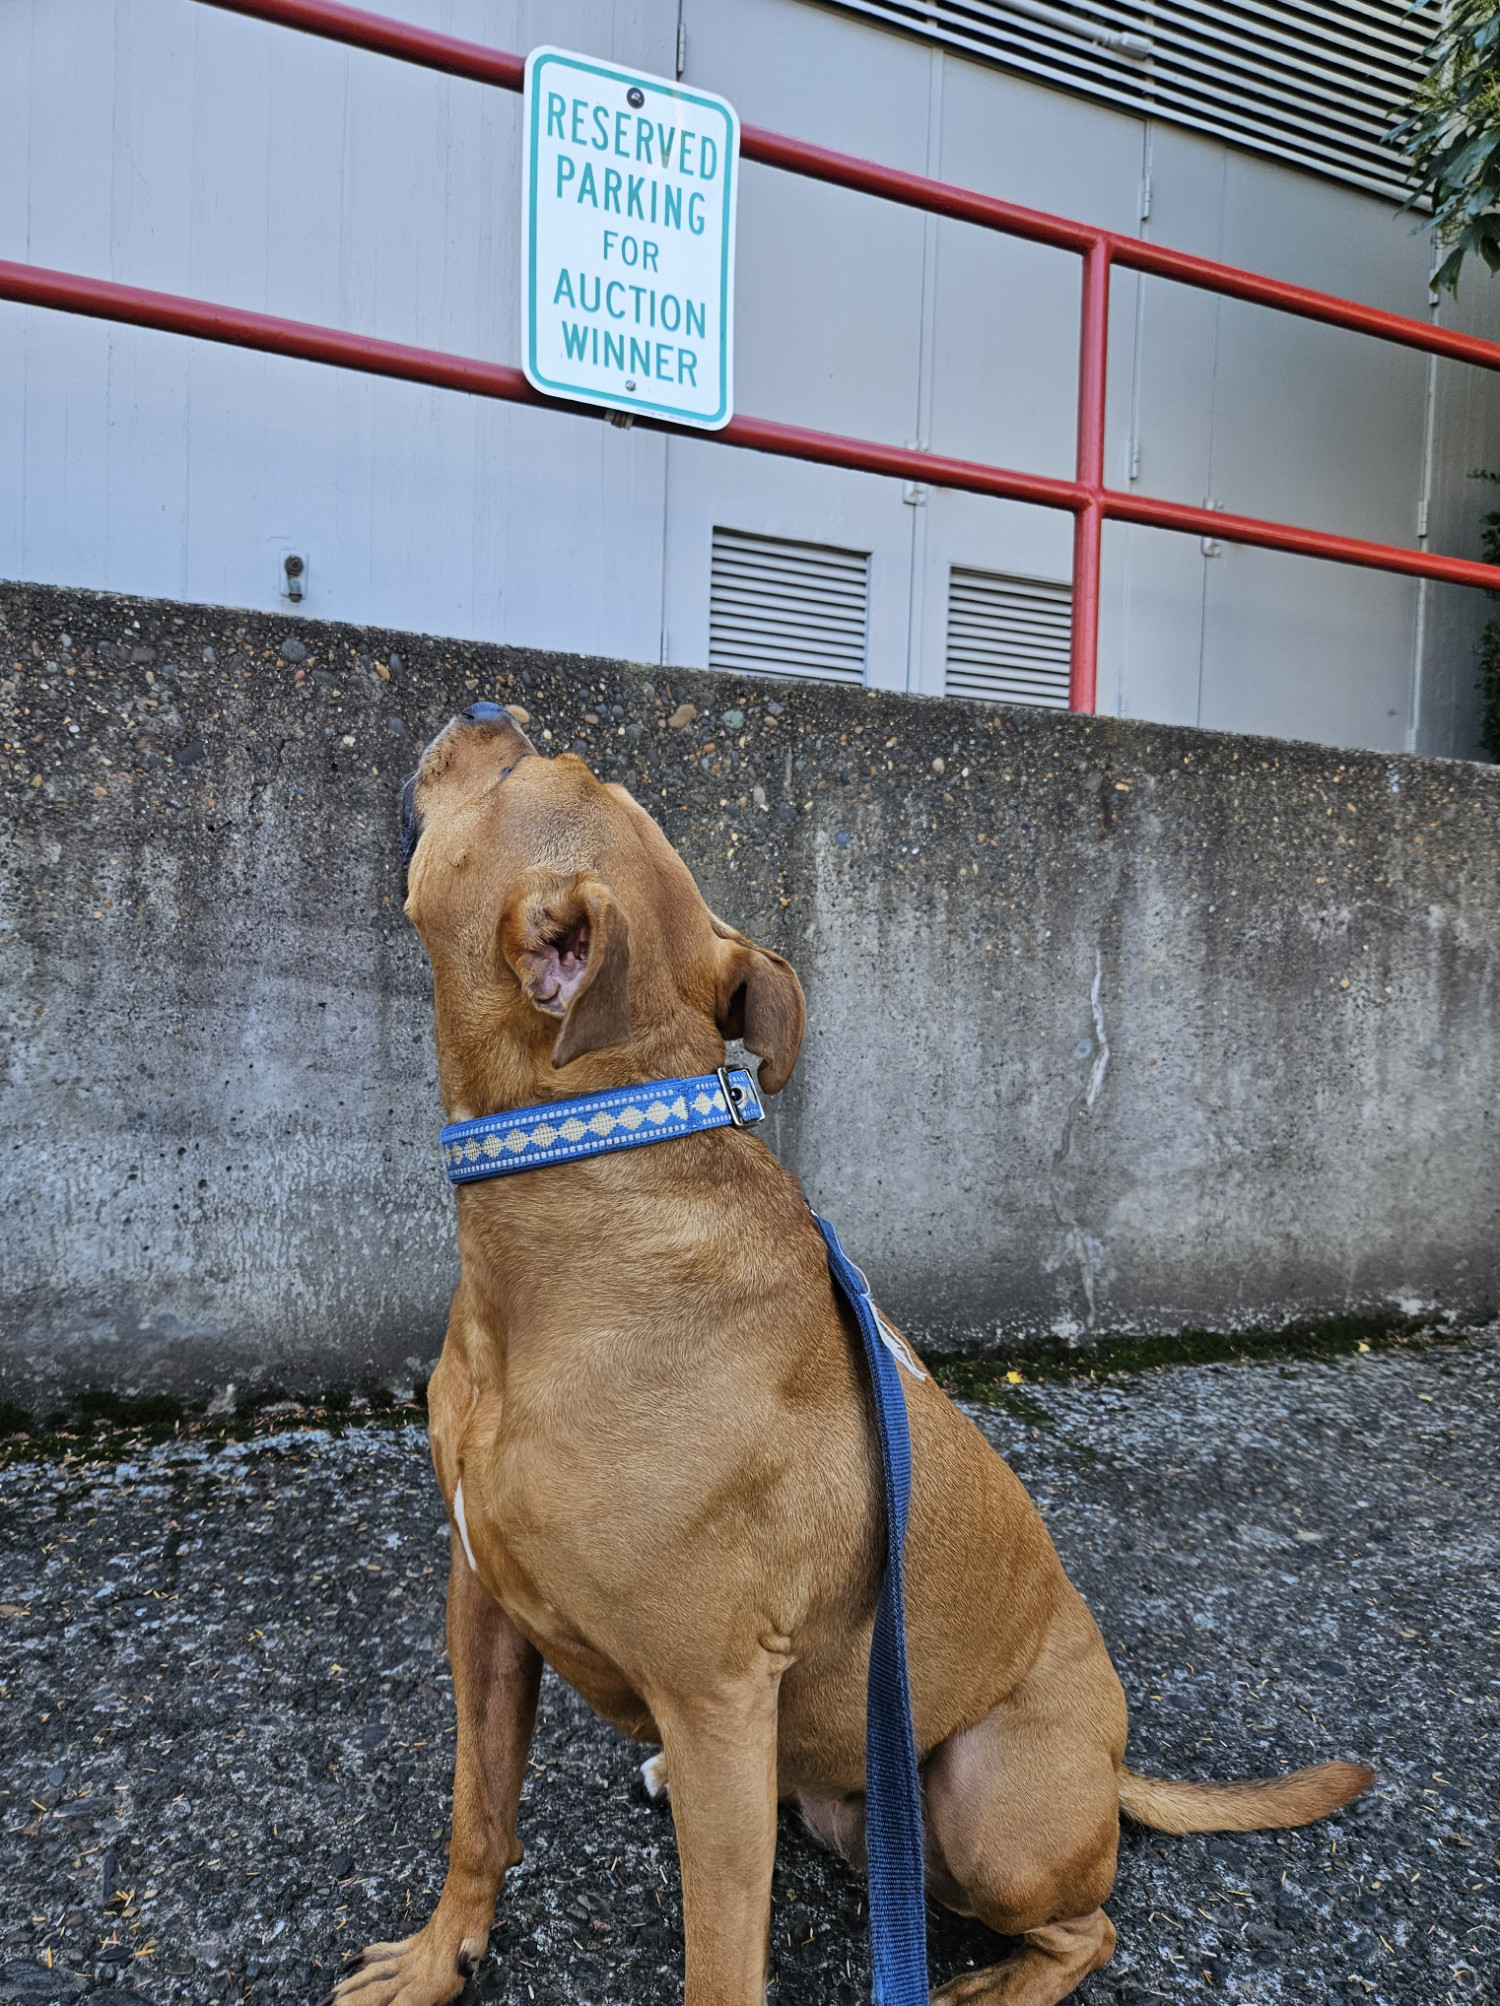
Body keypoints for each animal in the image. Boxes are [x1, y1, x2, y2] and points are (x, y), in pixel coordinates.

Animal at [334, 710, 1379, 2006]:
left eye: (532, 771)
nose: (494, 717)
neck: (582, 1186)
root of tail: (1113, 1760)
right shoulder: (483, 1604)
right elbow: (478, 1813)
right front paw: (437, 1961)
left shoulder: (719, 1695)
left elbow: (719, 1961)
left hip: (991, 1806)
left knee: (1088, 1925)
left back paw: (995, 1982)